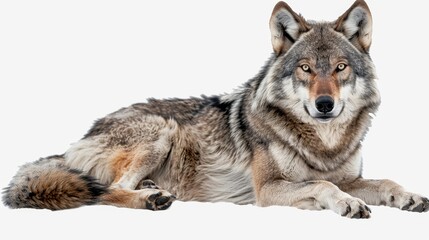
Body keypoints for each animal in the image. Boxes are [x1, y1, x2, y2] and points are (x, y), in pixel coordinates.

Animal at [1, 0, 426, 218]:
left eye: (339, 68)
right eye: (306, 69)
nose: (325, 104)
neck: (323, 143)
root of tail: (77, 141)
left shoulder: (351, 176)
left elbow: (384, 182)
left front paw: (408, 196)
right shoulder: (267, 190)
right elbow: (323, 186)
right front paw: (348, 204)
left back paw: (154, 189)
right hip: (162, 130)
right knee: (109, 190)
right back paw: (150, 199)